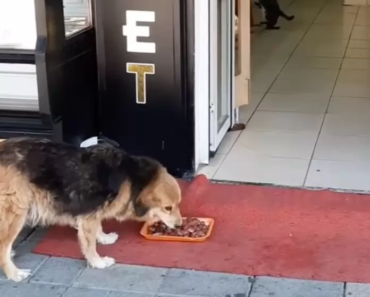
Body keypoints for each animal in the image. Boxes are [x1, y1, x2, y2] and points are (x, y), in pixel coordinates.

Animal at [0, 136, 184, 280]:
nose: (180, 225)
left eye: (178, 204)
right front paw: (98, 262)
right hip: (15, 212)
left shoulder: (94, 211)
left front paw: (103, 237)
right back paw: (14, 273)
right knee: (3, 248)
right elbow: (89, 245)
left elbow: (97, 228)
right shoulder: (89, 215)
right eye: (168, 208)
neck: (132, 180)